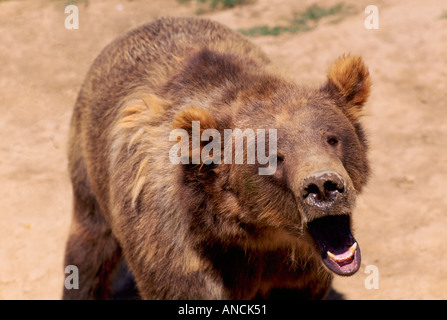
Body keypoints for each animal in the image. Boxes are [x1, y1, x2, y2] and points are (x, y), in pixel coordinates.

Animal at [63, 16, 372, 298]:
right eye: (274, 158)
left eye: (332, 138)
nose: (323, 186)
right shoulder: (181, 252)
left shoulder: (297, 270)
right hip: (89, 165)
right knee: (90, 245)